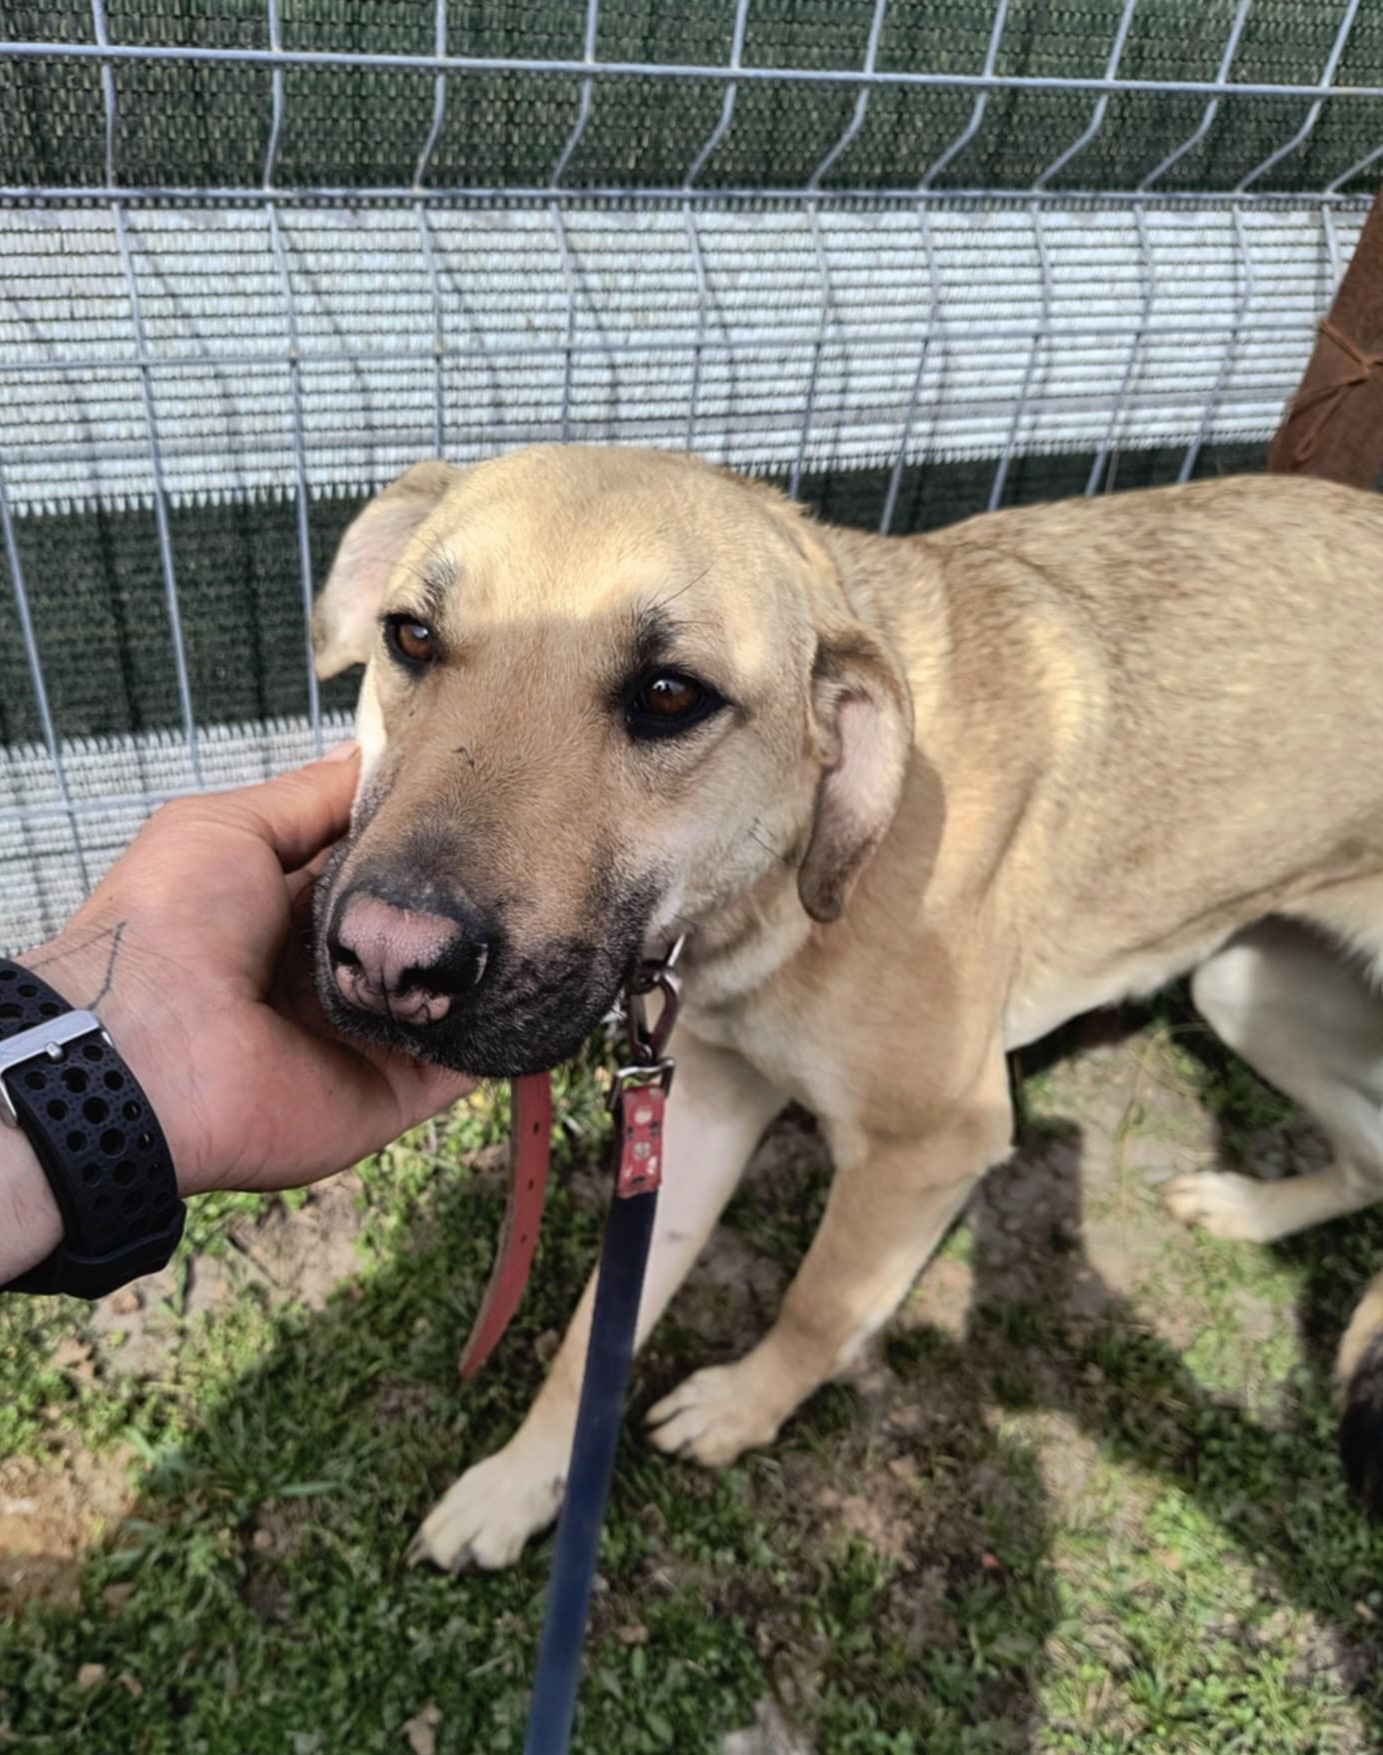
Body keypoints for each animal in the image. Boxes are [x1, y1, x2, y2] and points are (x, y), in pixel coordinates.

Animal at [306, 445, 1383, 1567]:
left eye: (669, 693)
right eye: (411, 636)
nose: (386, 961)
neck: (808, 856)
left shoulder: (932, 1145)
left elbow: (820, 1305)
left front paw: (742, 1408)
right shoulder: (704, 1105)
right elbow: (600, 1325)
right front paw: (523, 1482)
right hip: (1245, 988)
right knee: (1368, 1155)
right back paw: (1251, 1210)